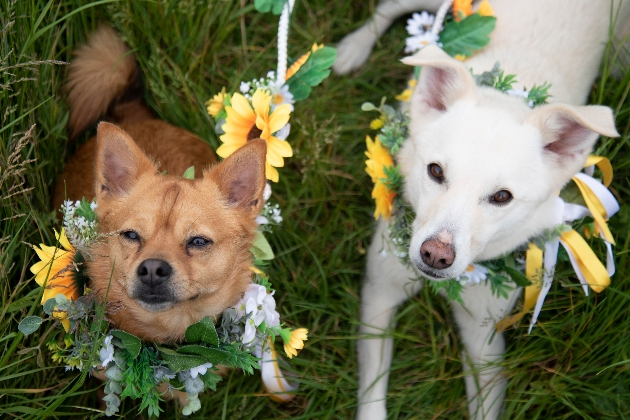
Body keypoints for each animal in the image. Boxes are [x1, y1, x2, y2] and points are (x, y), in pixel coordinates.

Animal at [336, 0, 630, 420]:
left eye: (502, 197)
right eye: (435, 171)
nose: (435, 255)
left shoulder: (484, 345)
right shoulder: (379, 295)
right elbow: (372, 393)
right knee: (392, 7)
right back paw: (352, 48)